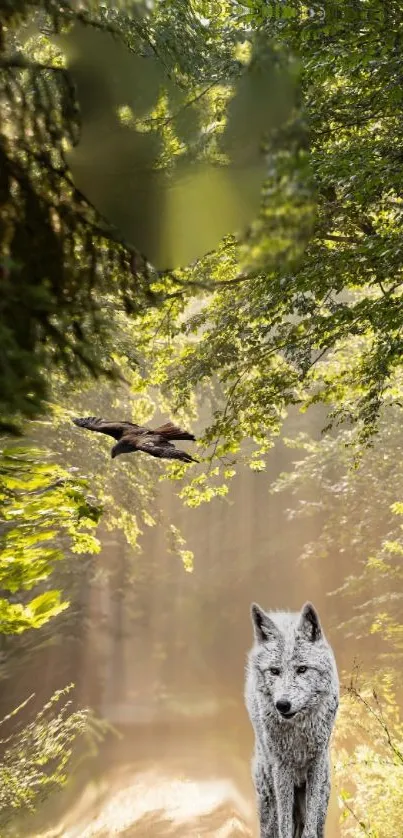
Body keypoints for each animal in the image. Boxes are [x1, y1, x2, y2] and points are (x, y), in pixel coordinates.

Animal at [245, 600, 340, 836]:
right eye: (274, 671)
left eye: (302, 669)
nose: (282, 704)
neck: (299, 731)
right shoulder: (282, 769)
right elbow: (285, 827)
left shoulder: (316, 765)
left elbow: (310, 827)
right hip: (268, 800)